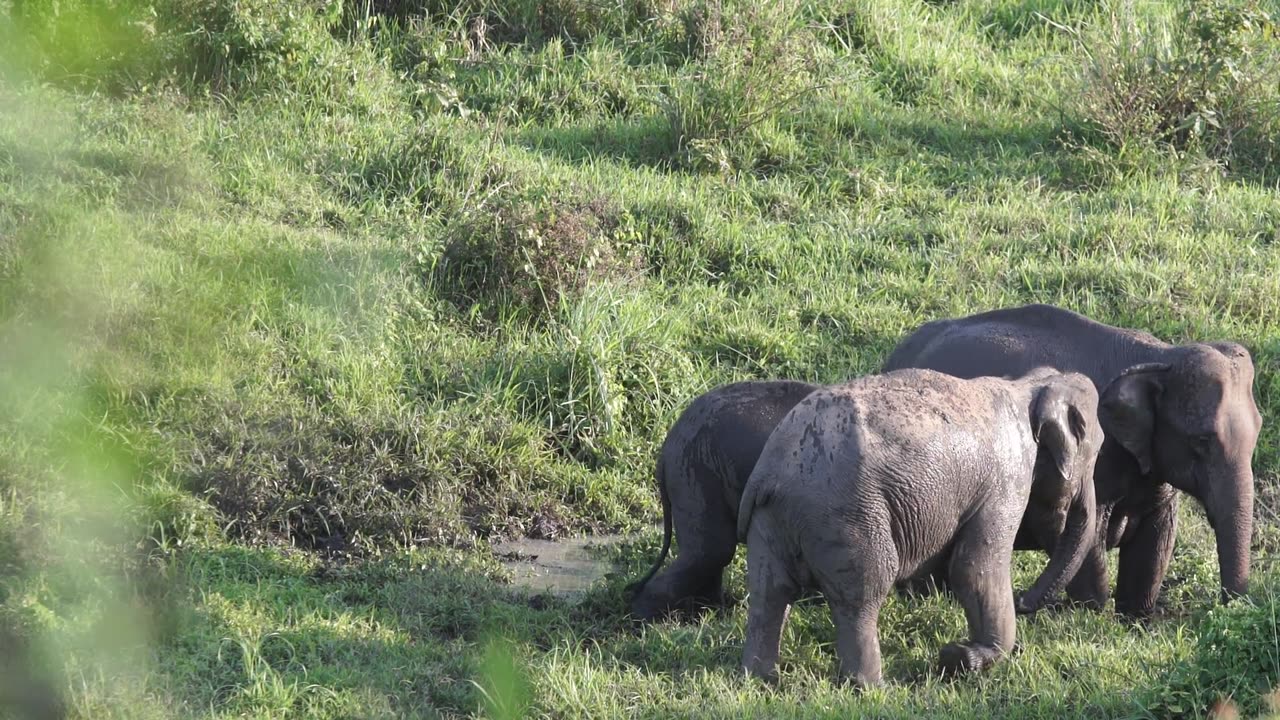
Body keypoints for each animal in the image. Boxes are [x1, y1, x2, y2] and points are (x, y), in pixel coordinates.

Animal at [629, 379, 819, 620]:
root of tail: (665, 449)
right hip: (696, 474)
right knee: (710, 552)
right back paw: (644, 619)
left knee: (707, 555)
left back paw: (709, 613)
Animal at [737, 366, 1105, 686]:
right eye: (1097, 448)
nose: (1024, 600)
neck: (1029, 385)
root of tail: (771, 471)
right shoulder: (1006, 481)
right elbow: (974, 568)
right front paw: (963, 658)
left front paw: (961, 657)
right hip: (847, 516)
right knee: (863, 592)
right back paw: (871, 688)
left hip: (771, 520)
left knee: (770, 591)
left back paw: (761, 679)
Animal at [885, 303, 1264, 617]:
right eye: (1201, 441)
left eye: (1258, 431)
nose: (1229, 608)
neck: (1160, 355)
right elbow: (1088, 530)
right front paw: (1093, 616)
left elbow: (1156, 539)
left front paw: (1135, 620)